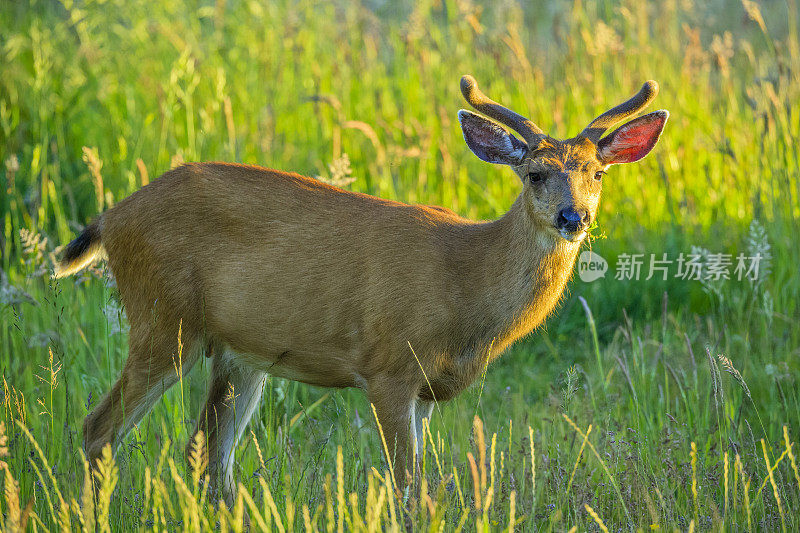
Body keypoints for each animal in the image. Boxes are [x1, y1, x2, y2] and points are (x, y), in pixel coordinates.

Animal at [53, 75, 668, 502]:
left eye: (597, 173)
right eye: (535, 174)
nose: (574, 217)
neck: (465, 282)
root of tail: (112, 218)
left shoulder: (426, 391)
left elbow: (425, 484)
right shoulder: (390, 366)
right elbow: (405, 486)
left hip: (238, 353)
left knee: (207, 454)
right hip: (163, 319)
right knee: (98, 429)